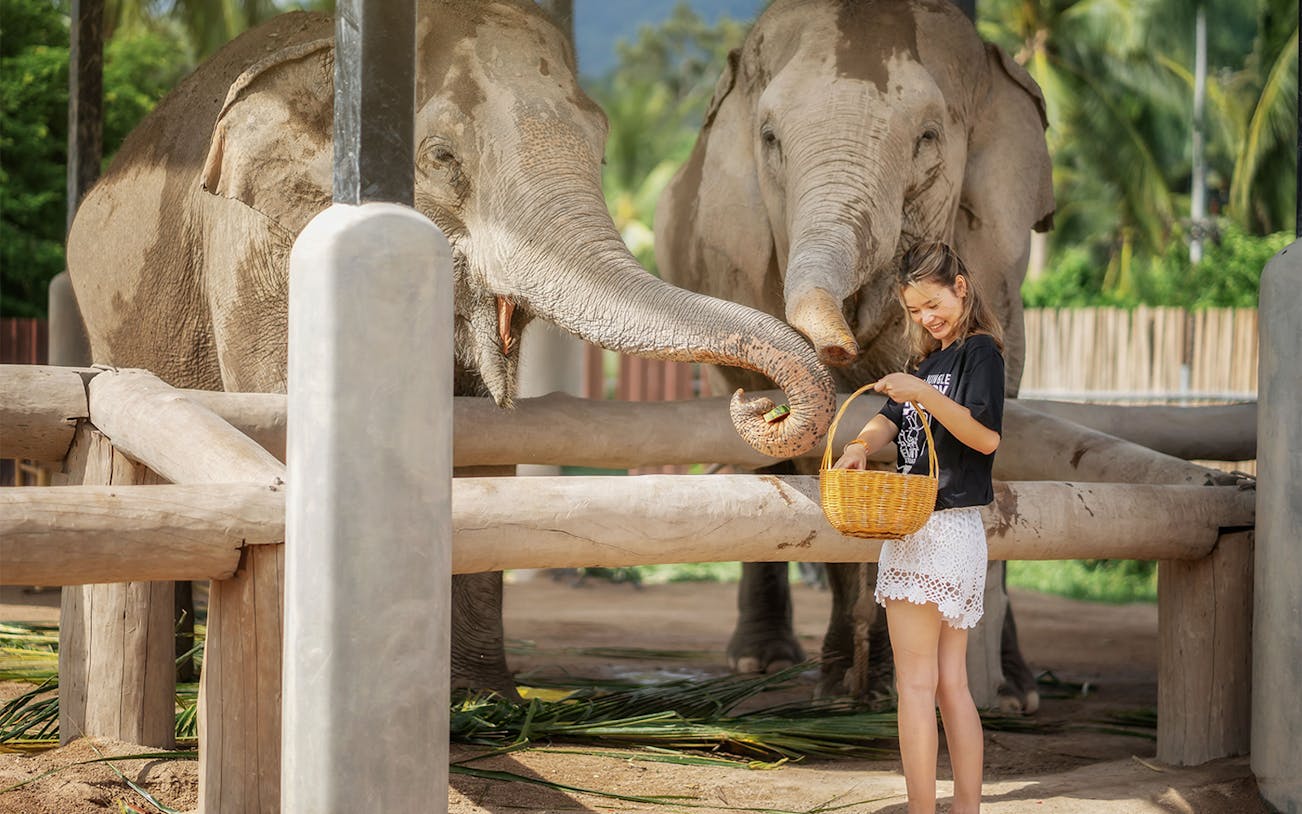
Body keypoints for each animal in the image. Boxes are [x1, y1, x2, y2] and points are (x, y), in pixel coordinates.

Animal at [66, 0, 836, 699]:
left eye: (602, 151)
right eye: (441, 158)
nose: (759, 403)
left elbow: (480, 445)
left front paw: (481, 701)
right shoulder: (254, 252)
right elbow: (285, 416)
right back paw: (178, 673)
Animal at [655, 0, 1054, 708]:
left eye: (928, 138)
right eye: (769, 138)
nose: (838, 344)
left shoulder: (1001, 267)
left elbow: (998, 429)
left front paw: (1002, 694)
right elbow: (827, 448)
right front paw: (847, 688)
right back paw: (762, 661)